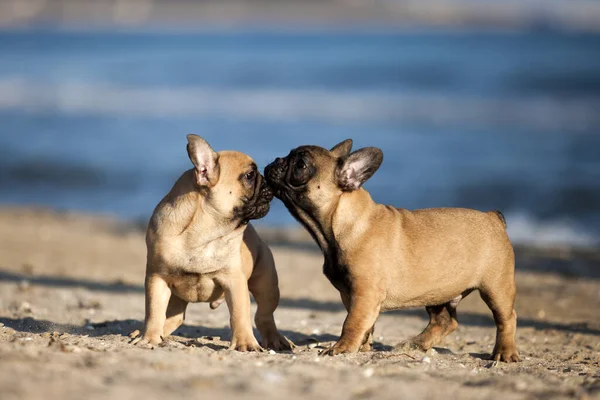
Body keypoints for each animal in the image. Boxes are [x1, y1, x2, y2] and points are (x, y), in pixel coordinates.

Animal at [132, 136, 292, 352]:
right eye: (250, 175)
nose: (267, 180)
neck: (204, 234)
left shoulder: (235, 281)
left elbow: (240, 314)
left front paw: (245, 343)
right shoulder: (157, 278)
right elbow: (154, 311)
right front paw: (149, 338)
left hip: (267, 284)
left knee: (264, 315)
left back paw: (276, 339)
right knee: (174, 317)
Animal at [264, 140, 516, 362]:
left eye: (301, 165)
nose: (276, 160)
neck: (343, 223)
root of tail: (493, 218)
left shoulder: (365, 292)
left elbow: (352, 321)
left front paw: (342, 347)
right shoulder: (351, 294)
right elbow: (365, 322)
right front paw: (363, 346)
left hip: (496, 287)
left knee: (506, 318)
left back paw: (505, 353)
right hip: (438, 290)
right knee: (444, 321)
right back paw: (416, 344)